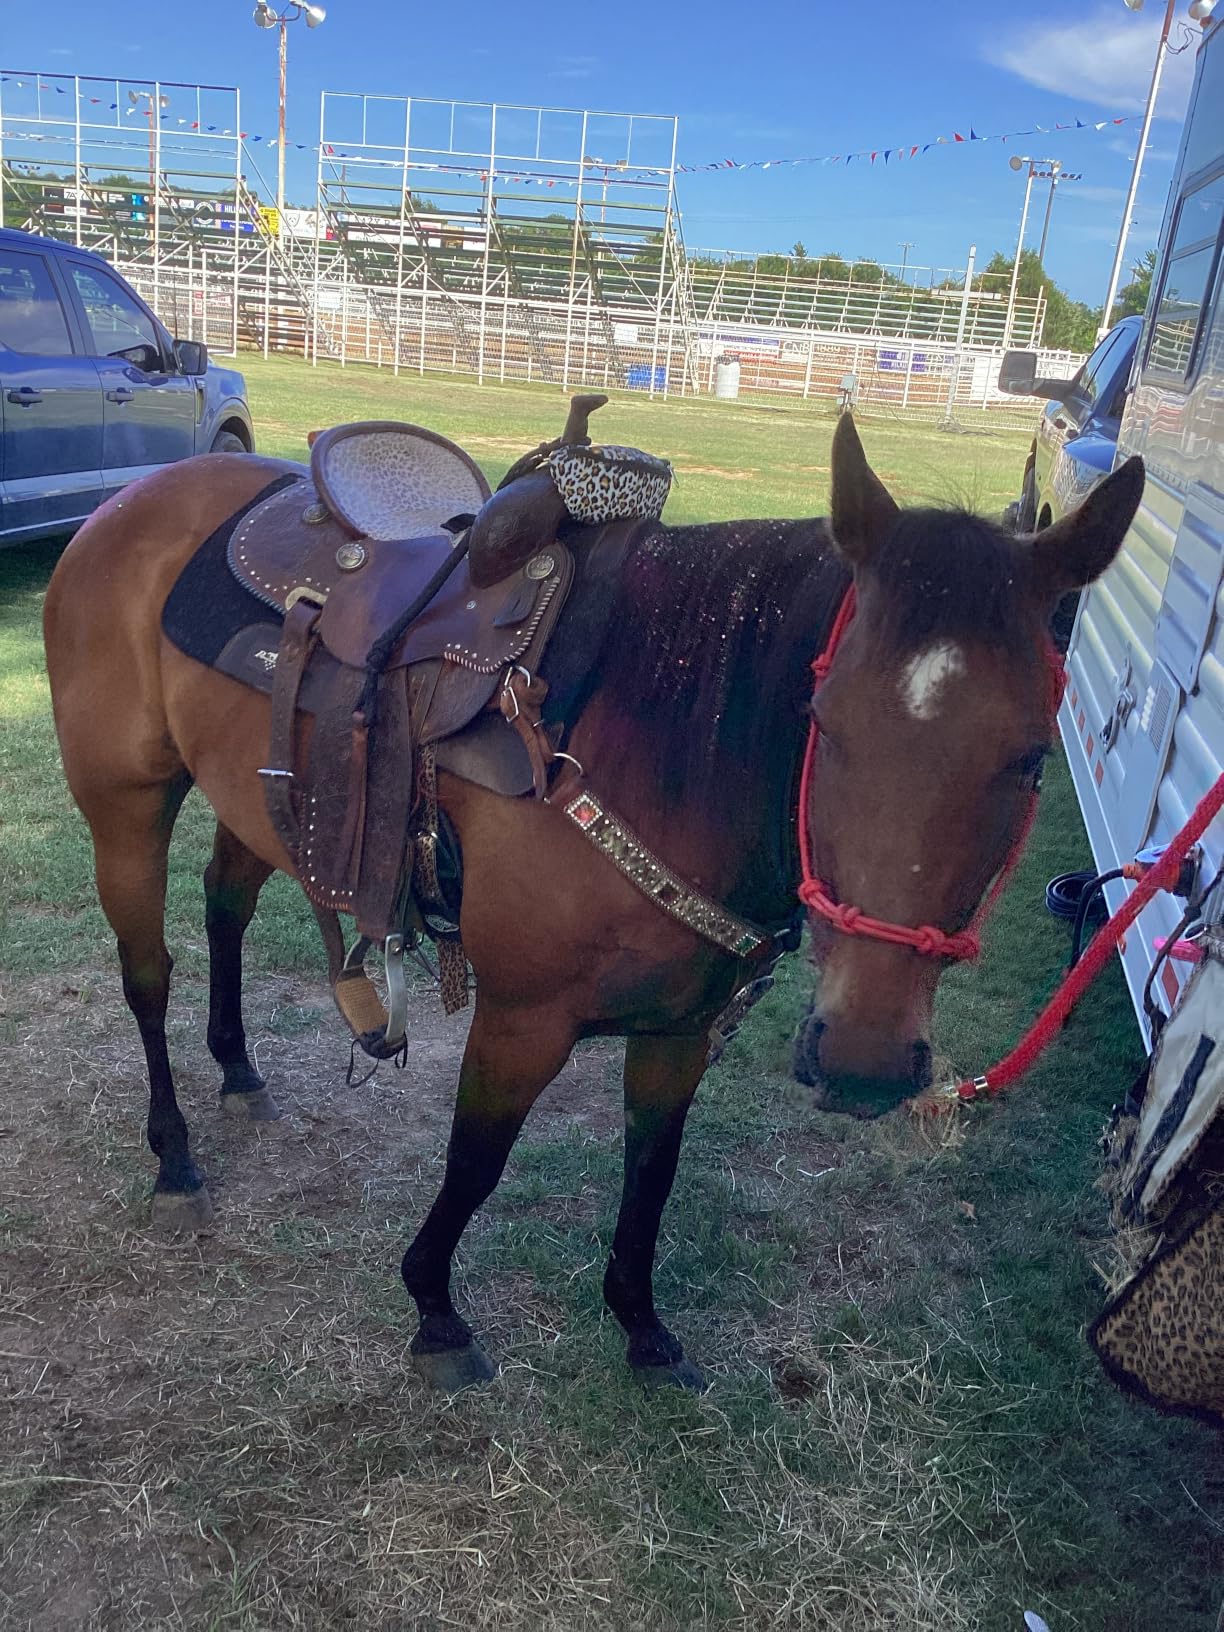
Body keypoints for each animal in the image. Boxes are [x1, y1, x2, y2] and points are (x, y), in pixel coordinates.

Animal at [42, 416, 1143, 1392]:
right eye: (825, 720)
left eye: (1030, 758)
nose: (864, 1061)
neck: (647, 733)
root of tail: (142, 496)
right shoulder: (521, 1020)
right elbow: (476, 1164)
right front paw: (436, 1315)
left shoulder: (682, 1030)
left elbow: (651, 1172)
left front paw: (642, 1328)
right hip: (126, 804)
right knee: (148, 973)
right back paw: (175, 1158)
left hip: (262, 800)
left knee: (225, 905)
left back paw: (237, 1069)